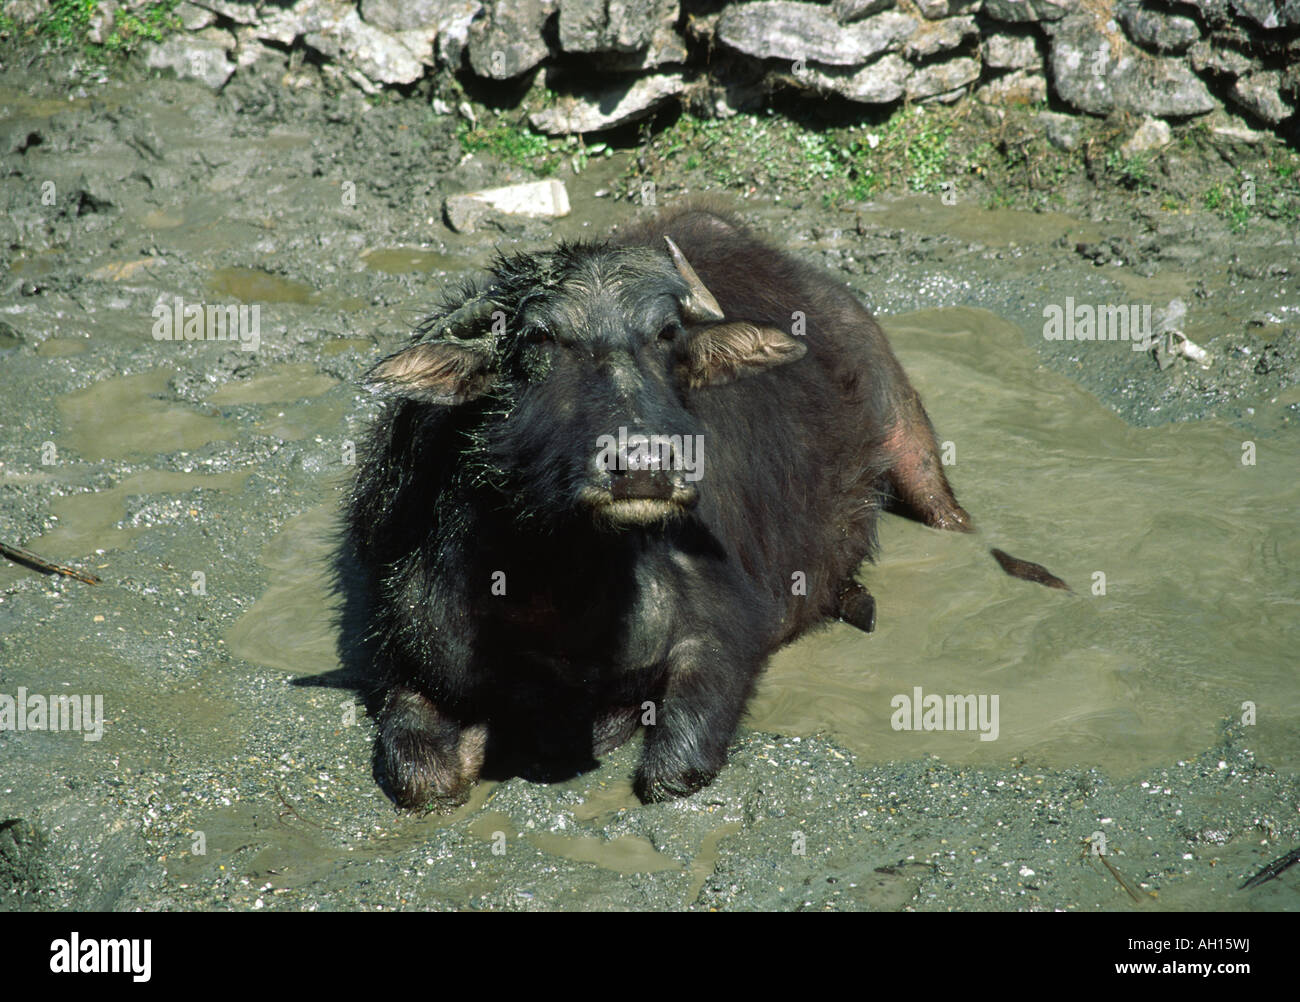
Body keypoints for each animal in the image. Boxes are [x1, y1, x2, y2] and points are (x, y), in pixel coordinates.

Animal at [341, 204, 1066, 808]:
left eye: (665, 334)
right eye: (539, 339)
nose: (644, 466)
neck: (563, 586)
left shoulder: (727, 630)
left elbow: (674, 766)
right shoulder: (411, 656)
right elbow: (420, 775)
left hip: (907, 430)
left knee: (952, 516)